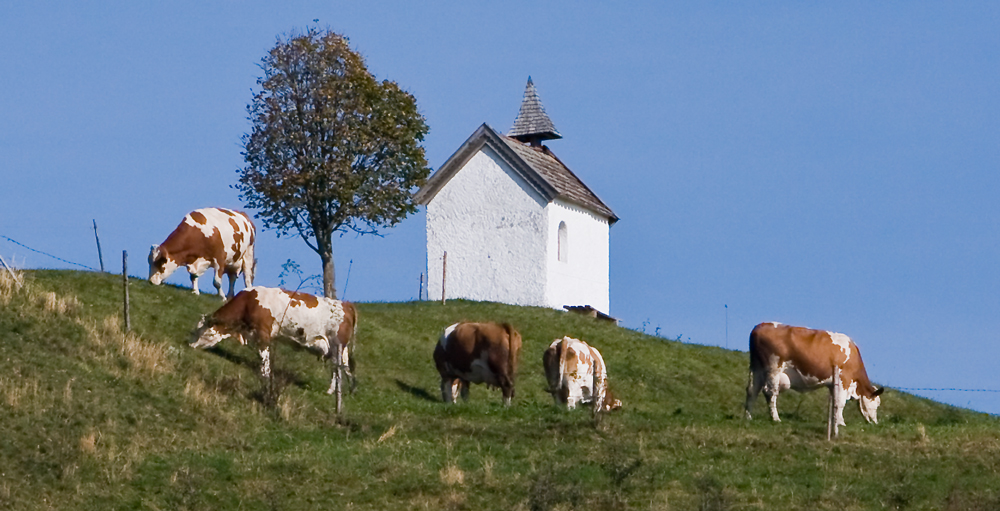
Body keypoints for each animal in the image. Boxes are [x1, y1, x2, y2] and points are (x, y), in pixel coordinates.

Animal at [189, 288, 358, 396]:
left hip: (337, 346)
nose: (189, 344)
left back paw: (332, 391)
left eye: (199, 330)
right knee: (345, 367)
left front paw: (264, 376)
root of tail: (345, 304)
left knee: (337, 369)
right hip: (340, 349)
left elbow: (264, 358)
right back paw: (349, 389)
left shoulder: (263, 334)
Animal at [744, 324, 884, 428]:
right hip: (773, 368)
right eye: (877, 404)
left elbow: (835, 403)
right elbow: (840, 403)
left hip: (757, 368)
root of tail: (759, 327)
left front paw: (835, 422)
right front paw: (841, 423)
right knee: (770, 392)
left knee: (752, 390)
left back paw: (748, 416)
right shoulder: (844, 379)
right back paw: (775, 418)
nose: (875, 422)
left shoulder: (834, 384)